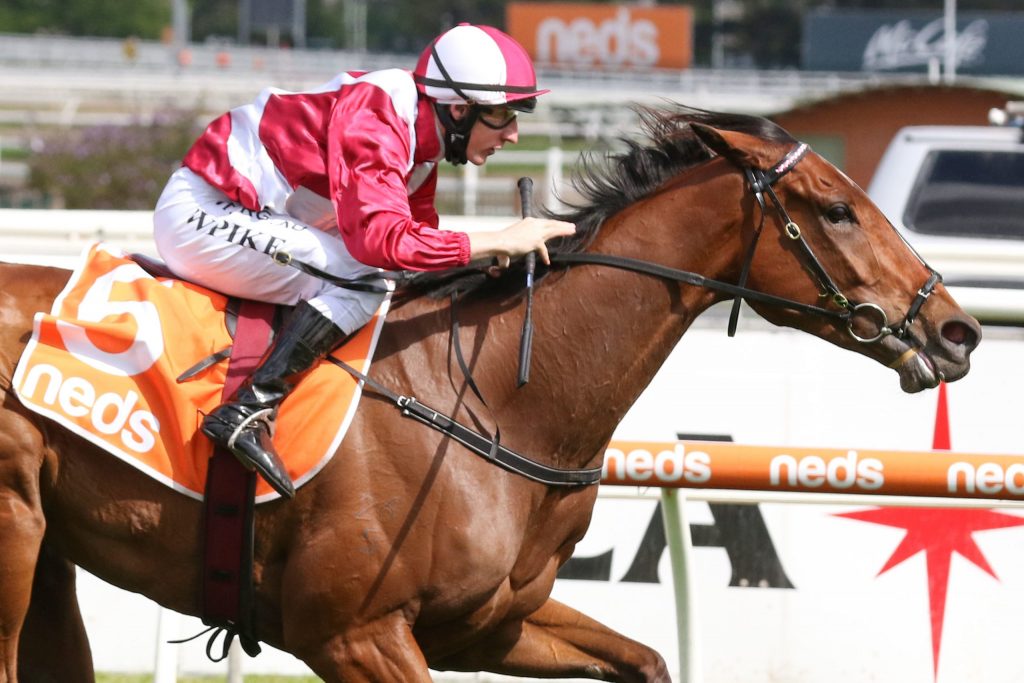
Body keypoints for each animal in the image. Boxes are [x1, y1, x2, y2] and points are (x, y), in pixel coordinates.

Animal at [2, 106, 980, 682]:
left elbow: (646, 657)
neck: (501, 405)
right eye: (837, 209)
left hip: (51, 557)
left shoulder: (496, 623)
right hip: (17, 532)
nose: (956, 330)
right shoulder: (353, 633)